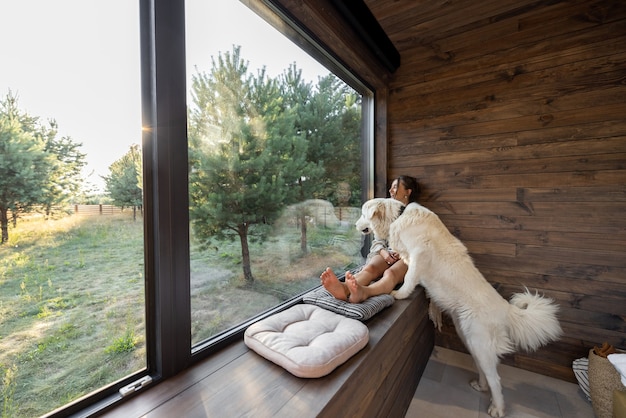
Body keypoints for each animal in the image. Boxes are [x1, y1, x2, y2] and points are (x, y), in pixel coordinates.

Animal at [354, 199, 564, 418]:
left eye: (363, 214)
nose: (355, 225)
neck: (399, 215)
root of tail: (505, 307)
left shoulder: (420, 254)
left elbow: (409, 277)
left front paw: (400, 293)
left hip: (479, 342)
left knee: (496, 380)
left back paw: (497, 408)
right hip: (469, 339)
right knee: (483, 370)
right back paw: (481, 386)